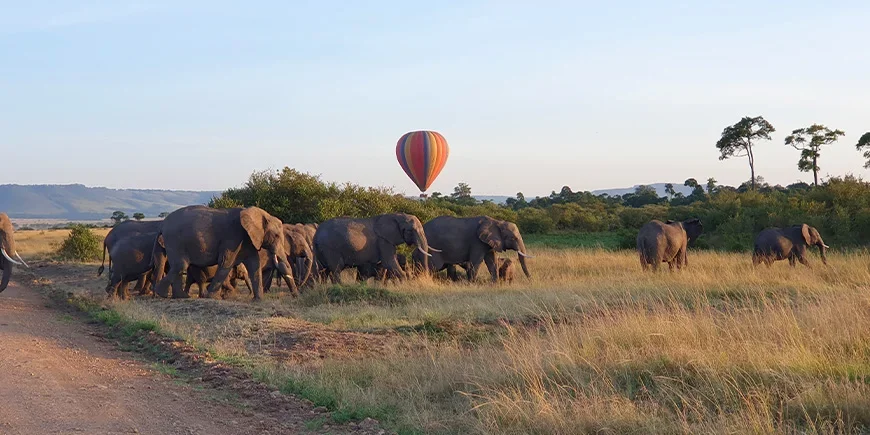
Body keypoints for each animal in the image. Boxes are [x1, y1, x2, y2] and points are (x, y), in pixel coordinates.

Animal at [153, 205, 294, 300]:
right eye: (276, 236)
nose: (295, 295)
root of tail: (162, 224)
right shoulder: (233, 237)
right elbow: (226, 262)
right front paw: (211, 297)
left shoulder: (247, 239)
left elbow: (254, 264)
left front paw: (257, 300)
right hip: (175, 240)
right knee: (181, 265)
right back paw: (163, 294)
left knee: (177, 266)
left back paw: (179, 296)